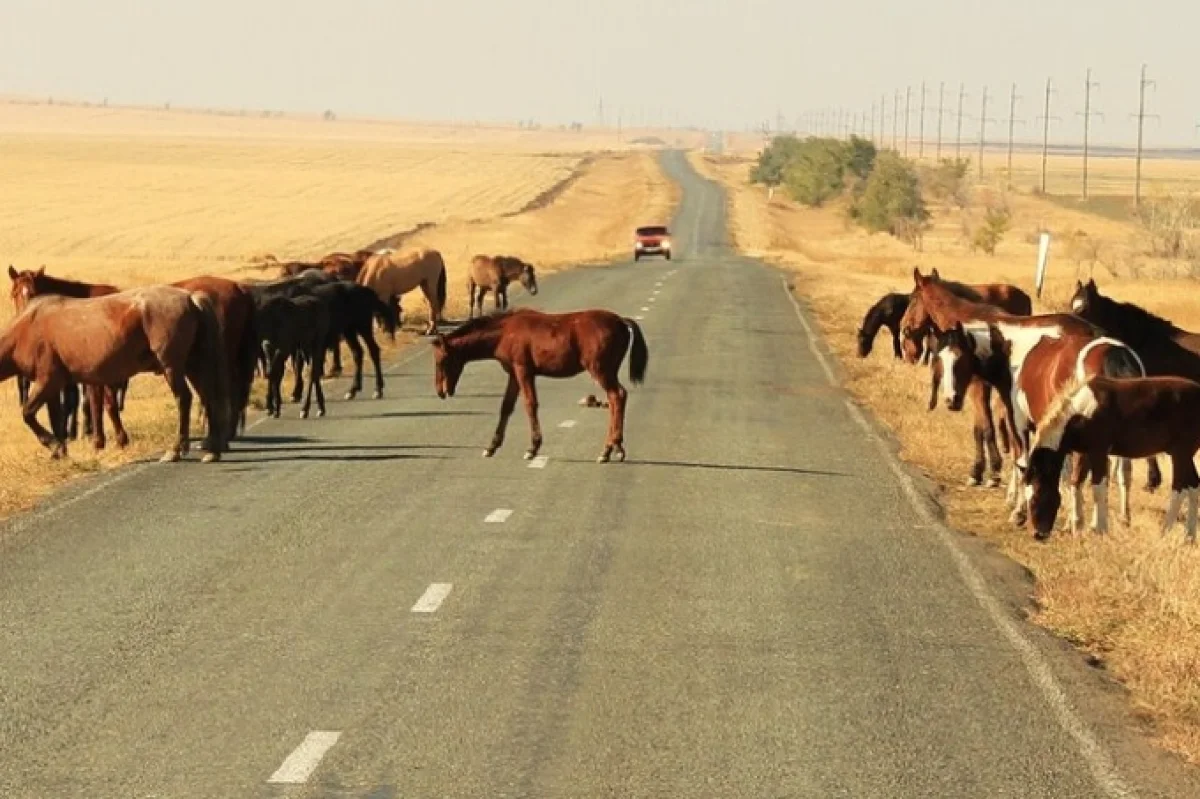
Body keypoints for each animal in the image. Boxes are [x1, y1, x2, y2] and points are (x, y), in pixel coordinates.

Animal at [0, 286, 230, 460]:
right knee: (208, 397)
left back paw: (176, 449)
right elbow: (56, 419)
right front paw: (60, 450)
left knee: (184, 398)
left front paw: (54, 445)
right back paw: (213, 450)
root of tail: (191, 298)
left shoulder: (48, 381)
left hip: (172, 367)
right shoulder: (53, 387)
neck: (28, 326)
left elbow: (28, 413)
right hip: (193, 366)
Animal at [1017, 374, 1200, 542]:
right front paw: (1077, 527)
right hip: (1185, 455)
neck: (1082, 413)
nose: (1037, 534)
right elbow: (1076, 483)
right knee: (1193, 486)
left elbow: (1098, 488)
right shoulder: (1084, 453)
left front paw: (1099, 529)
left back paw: (1165, 532)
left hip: (1180, 453)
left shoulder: (1098, 452)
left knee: (1179, 488)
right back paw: (1189, 536)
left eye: (1036, 498)